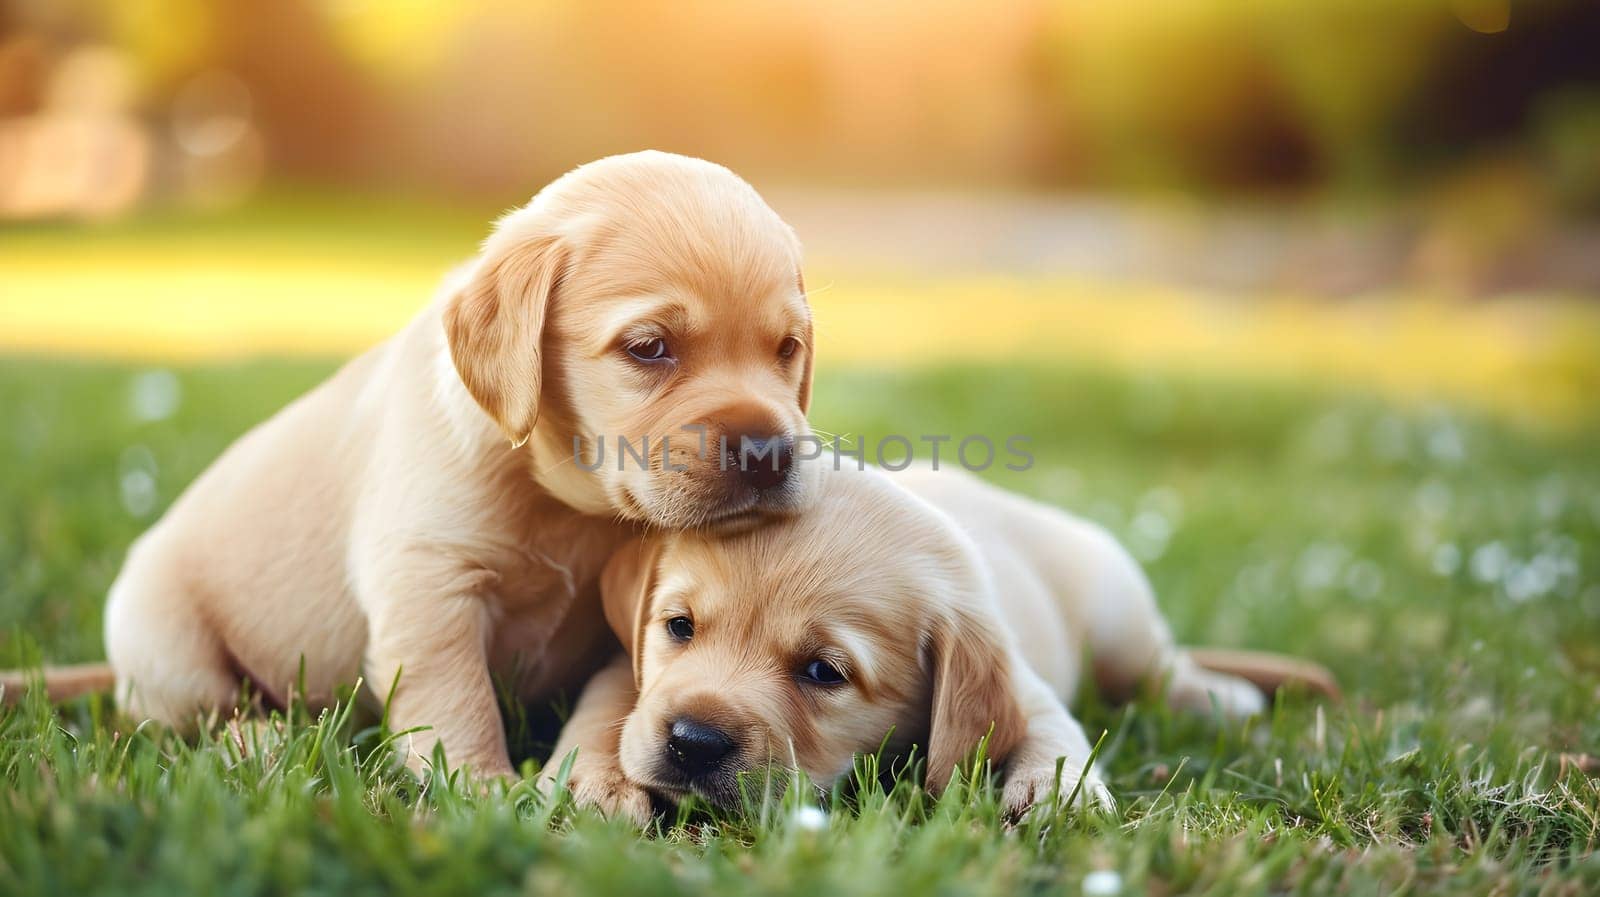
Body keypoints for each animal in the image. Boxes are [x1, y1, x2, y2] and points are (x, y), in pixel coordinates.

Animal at [3, 148, 825, 777]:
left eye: (788, 349)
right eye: (649, 347)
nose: (768, 450)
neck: (564, 501)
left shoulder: (623, 618)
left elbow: (613, 703)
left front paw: (598, 787)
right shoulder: (430, 588)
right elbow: (455, 701)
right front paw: (486, 792)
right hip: (166, 637)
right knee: (194, 715)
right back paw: (263, 739)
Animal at [550, 463, 1337, 825]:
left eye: (823, 672)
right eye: (679, 627)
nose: (692, 741)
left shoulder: (1023, 681)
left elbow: (1057, 731)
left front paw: (1059, 793)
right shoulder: (627, 655)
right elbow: (613, 697)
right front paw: (598, 778)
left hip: (1120, 618)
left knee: (1162, 668)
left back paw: (1221, 696)